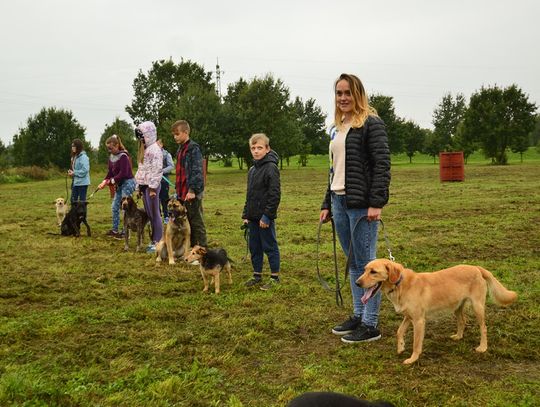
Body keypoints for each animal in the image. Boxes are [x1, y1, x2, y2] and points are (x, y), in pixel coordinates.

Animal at [358, 260, 520, 364]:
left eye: (373, 272)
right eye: (365, 269)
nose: (357, 283)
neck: (400, 284)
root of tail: (477, 268)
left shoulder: (418, 320)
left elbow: (416, 343)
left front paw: (413, 359)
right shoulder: (408, 317)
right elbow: (399, 332)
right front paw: (401, 347)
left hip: (478, 307)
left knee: (483, 328)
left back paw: (483, 347)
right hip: (457, 307)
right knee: (462, 321)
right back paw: (458, 336)